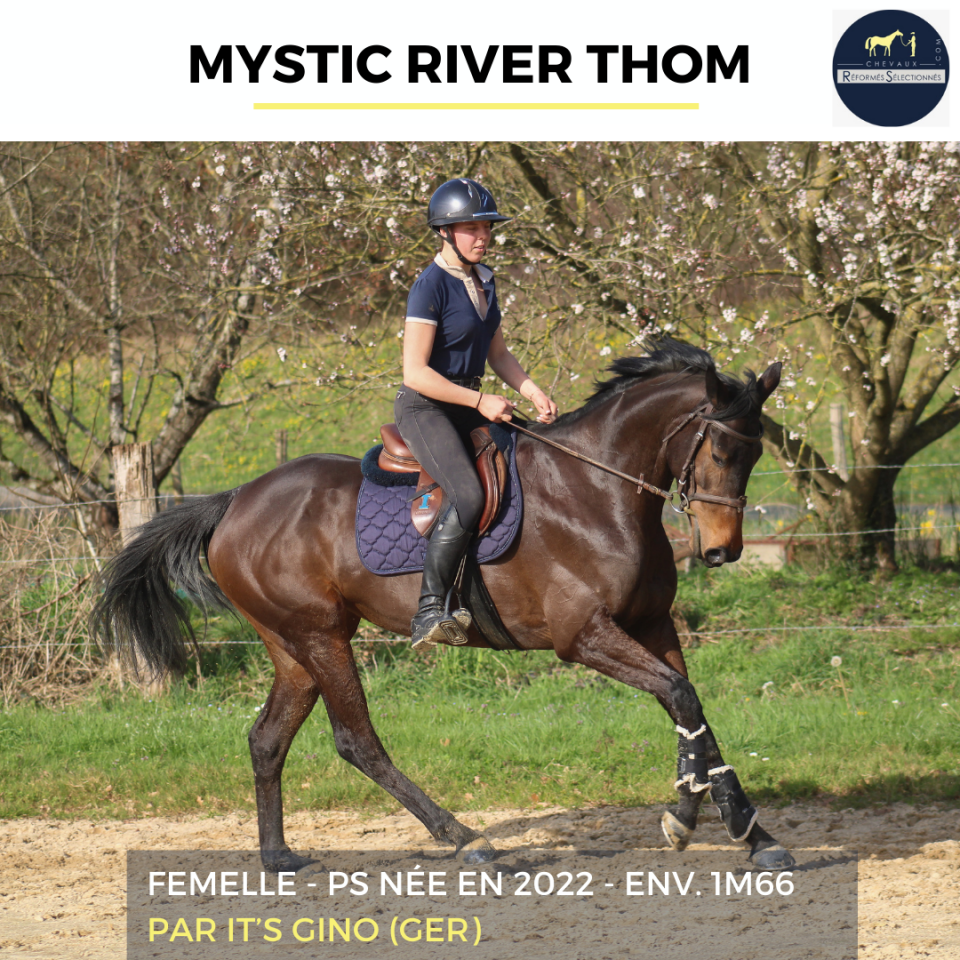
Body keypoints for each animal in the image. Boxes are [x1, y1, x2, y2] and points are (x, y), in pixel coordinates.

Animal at [92, 338, 794, 873]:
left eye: (757, 452)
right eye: (722, 450)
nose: (722, 551)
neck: (598, 487)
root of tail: (235, 500)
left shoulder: (651, 626)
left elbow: (692, 708)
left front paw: (746, 831)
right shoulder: (584, 637)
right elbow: (681, 698)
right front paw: (688, 817)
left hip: (292, 647)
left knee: (267, 740)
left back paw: (278, 857)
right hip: (322, 637)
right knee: (357, 742)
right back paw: (464, 839)